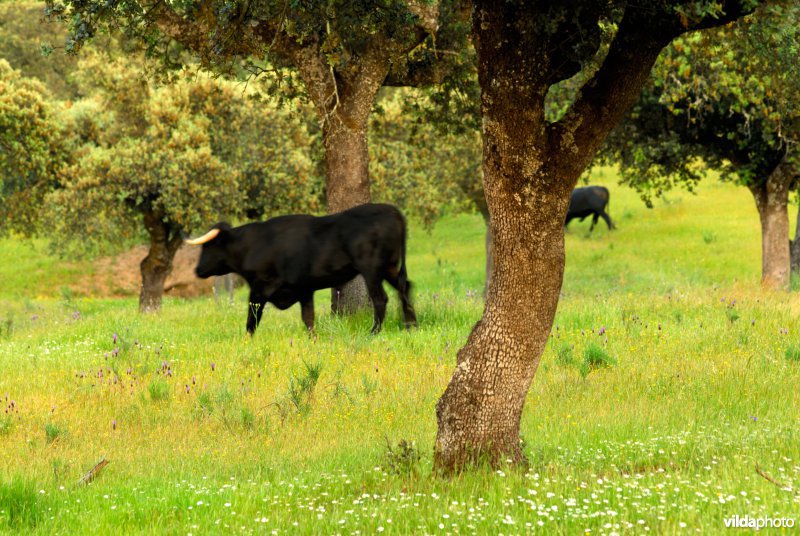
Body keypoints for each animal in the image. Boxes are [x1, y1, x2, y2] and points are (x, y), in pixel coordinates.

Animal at [184, 204, 416, 336]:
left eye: (208, 246)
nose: (197, 270)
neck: (254, 245)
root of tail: (392, 211)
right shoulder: (304, 289)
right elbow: (309, 319)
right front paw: (313, 340)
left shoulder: (259, 289)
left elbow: (252, 319)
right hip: (389, 268)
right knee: (404, 287)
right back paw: (410, 325)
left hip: (372, 270)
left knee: (381, 298)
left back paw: (374, 332)